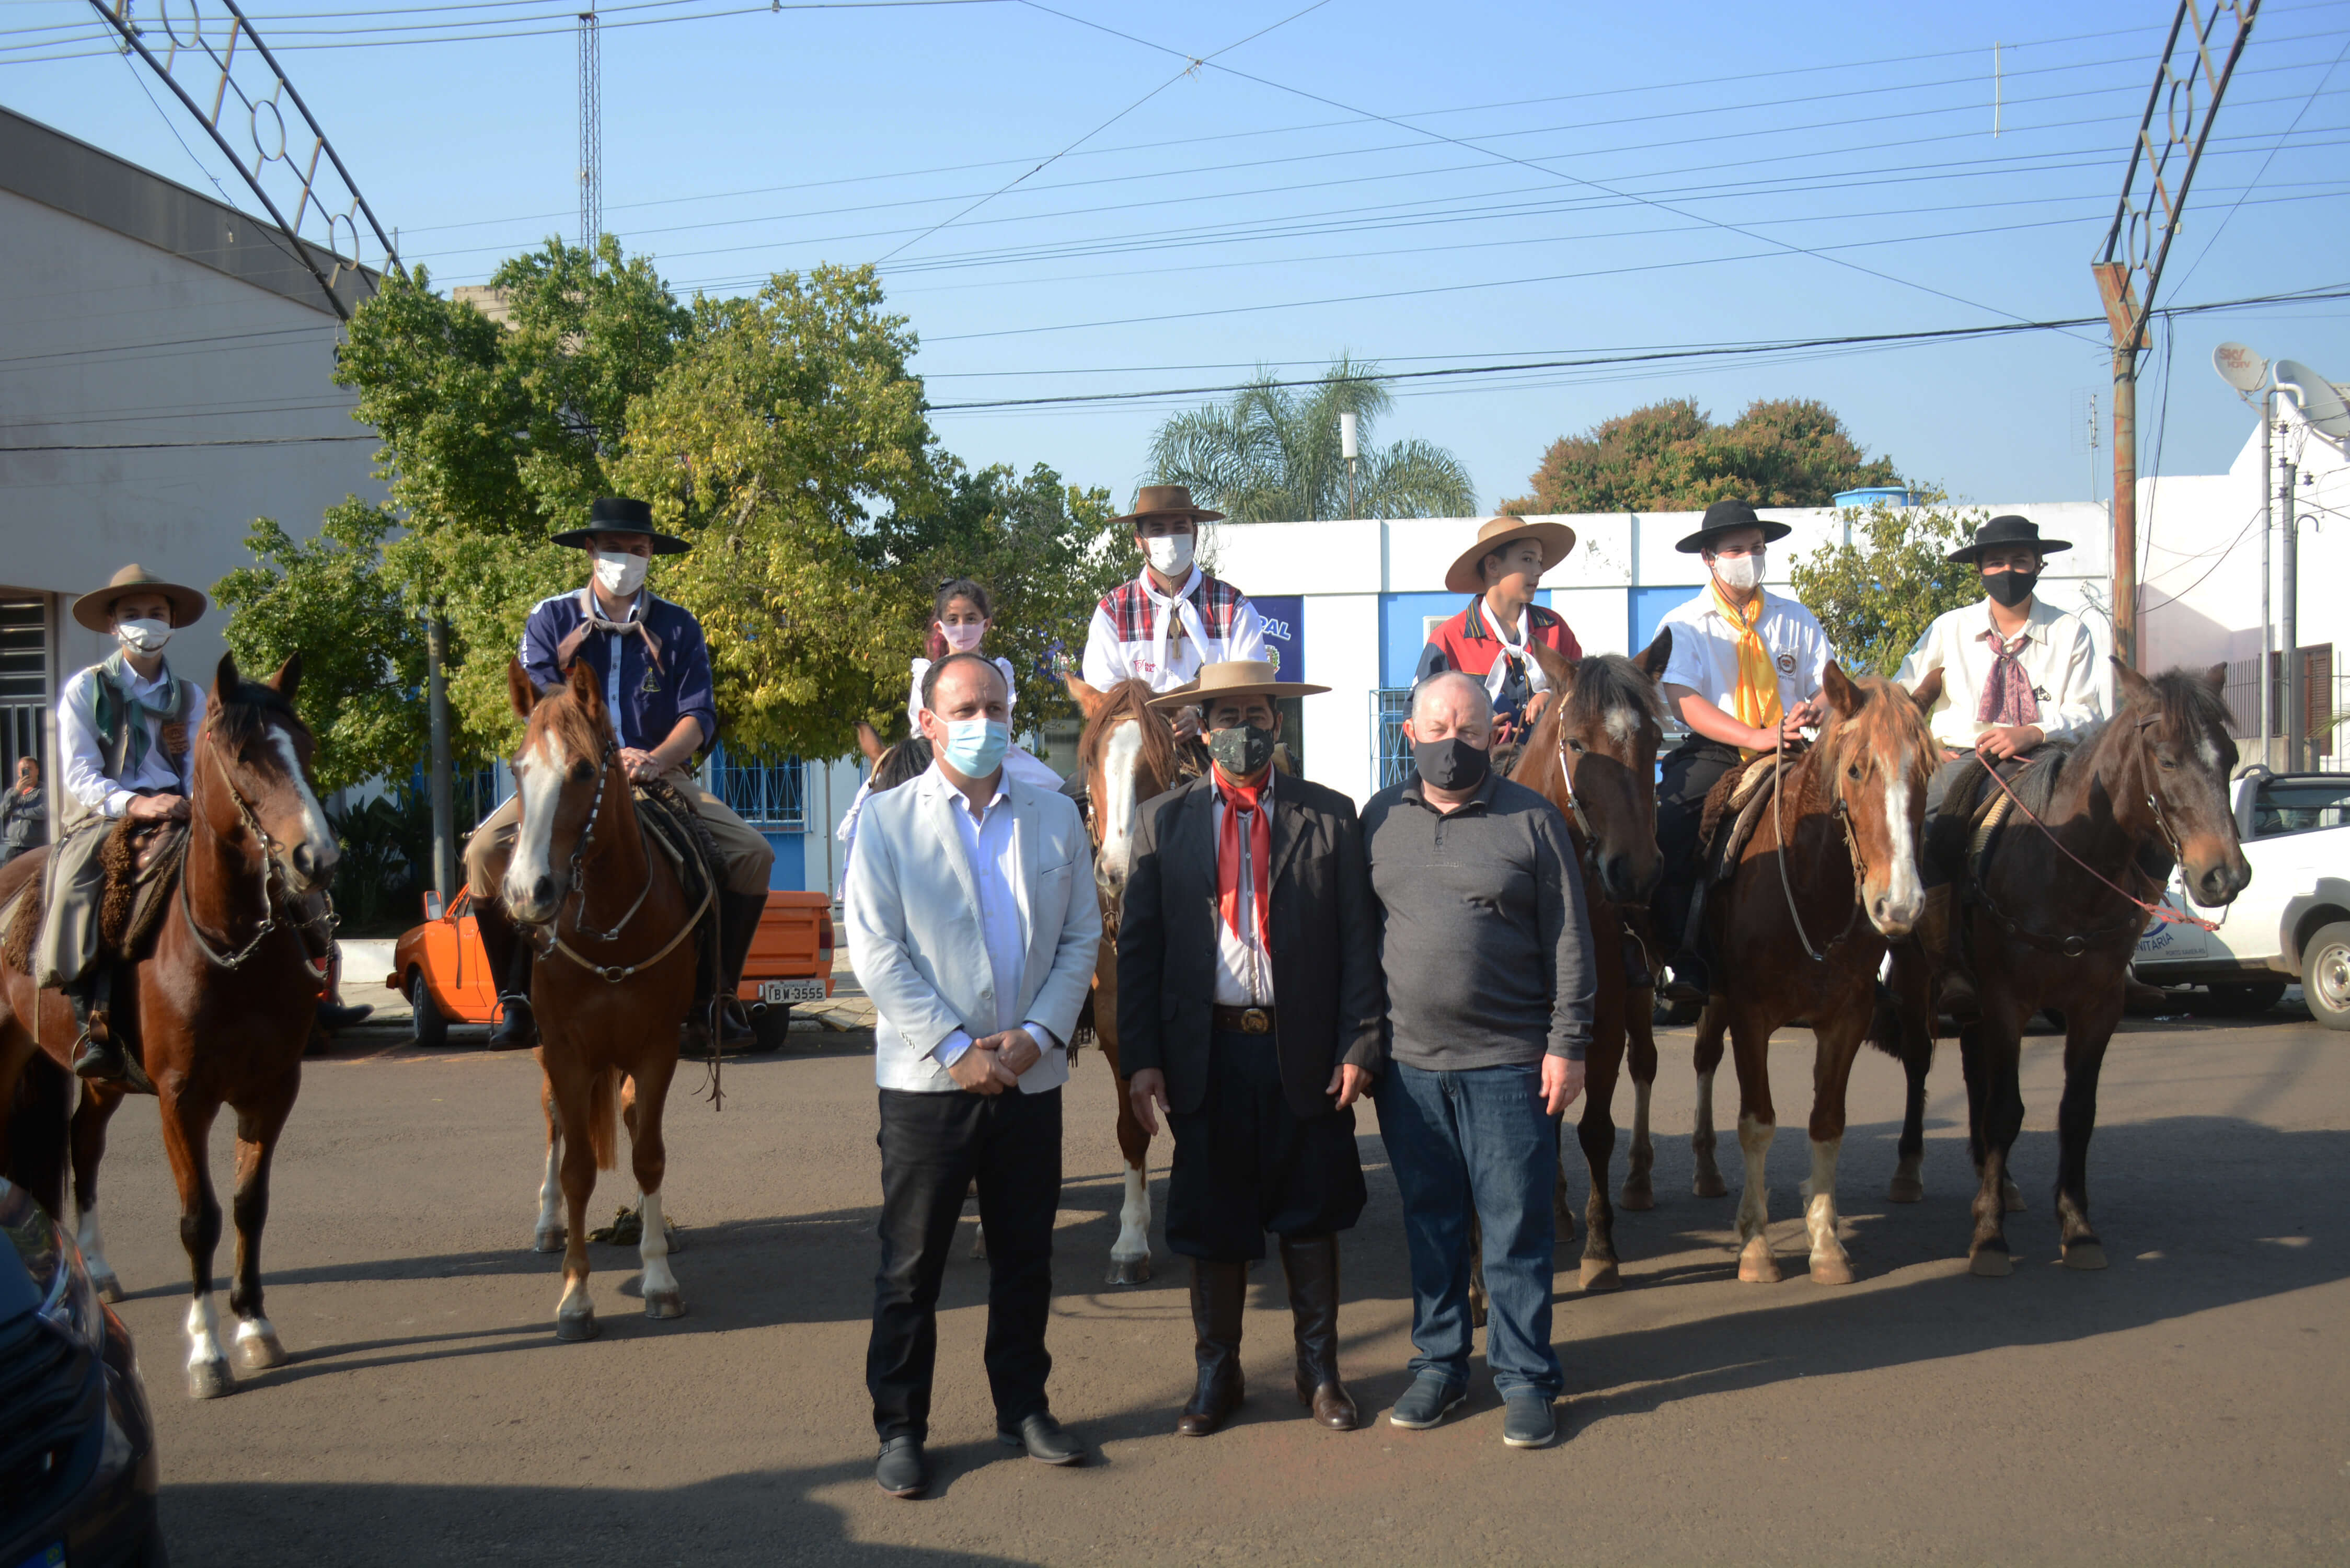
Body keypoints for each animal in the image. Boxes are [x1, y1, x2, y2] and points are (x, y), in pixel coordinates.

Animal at [0, 653, 338, 1398]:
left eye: (304, 747)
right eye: (242, 755)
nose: (316, 859)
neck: (229, 945)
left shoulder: (272, 1089)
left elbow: (247, 1205)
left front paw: (254, 1326)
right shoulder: (183, 1100)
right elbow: (198, 1219)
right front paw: (207, 1352)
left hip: (99, 1076)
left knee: (83, 1143)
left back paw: (98, 1270)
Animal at [504, 656, 708, 1340]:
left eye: (584, 771)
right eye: (516, 768)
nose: (527, 892)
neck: (611, 920)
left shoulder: (656, 1049)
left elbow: (648, 1155)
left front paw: (660, 1278)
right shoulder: (568, 1053)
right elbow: (577, 1169)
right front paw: (575, 1297)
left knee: (626, 1118)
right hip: (549, 1056)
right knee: (553, 1125)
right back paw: (546, 1224)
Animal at [1508, 633, 1673, 1292]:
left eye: (1654, 741)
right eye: (1575, 744)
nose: (1635, 872)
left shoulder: (1600, 1018)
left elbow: (1596, 1129)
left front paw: (1602, 1249)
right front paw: (1555, 1216)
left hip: (1637, 996)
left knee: (1645, 1064)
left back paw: (1639, 1179)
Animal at [1691, 662, 1943, 1286]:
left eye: (1925, 770)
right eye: (1855, 769)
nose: (1899, 905)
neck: (1808, 889)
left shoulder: (1846, 1018)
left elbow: (1827, 1123)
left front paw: (1826, 1244)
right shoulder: (1750, 1014)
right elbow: (1757, 1122)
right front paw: (1756, 1246)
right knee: (1697, 1060)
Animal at [1922, 661, 2247, 1276]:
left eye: (2231, 757)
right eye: (2166, 760)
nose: (2225, 876)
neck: (2064, 870)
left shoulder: (2098, 1008)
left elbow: (2077, 1112)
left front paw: (2076, 1227)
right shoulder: (2006, 1002)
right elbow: (2006, 1111)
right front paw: (1989, 1237)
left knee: (1976, 1079)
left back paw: (1998, 1184)